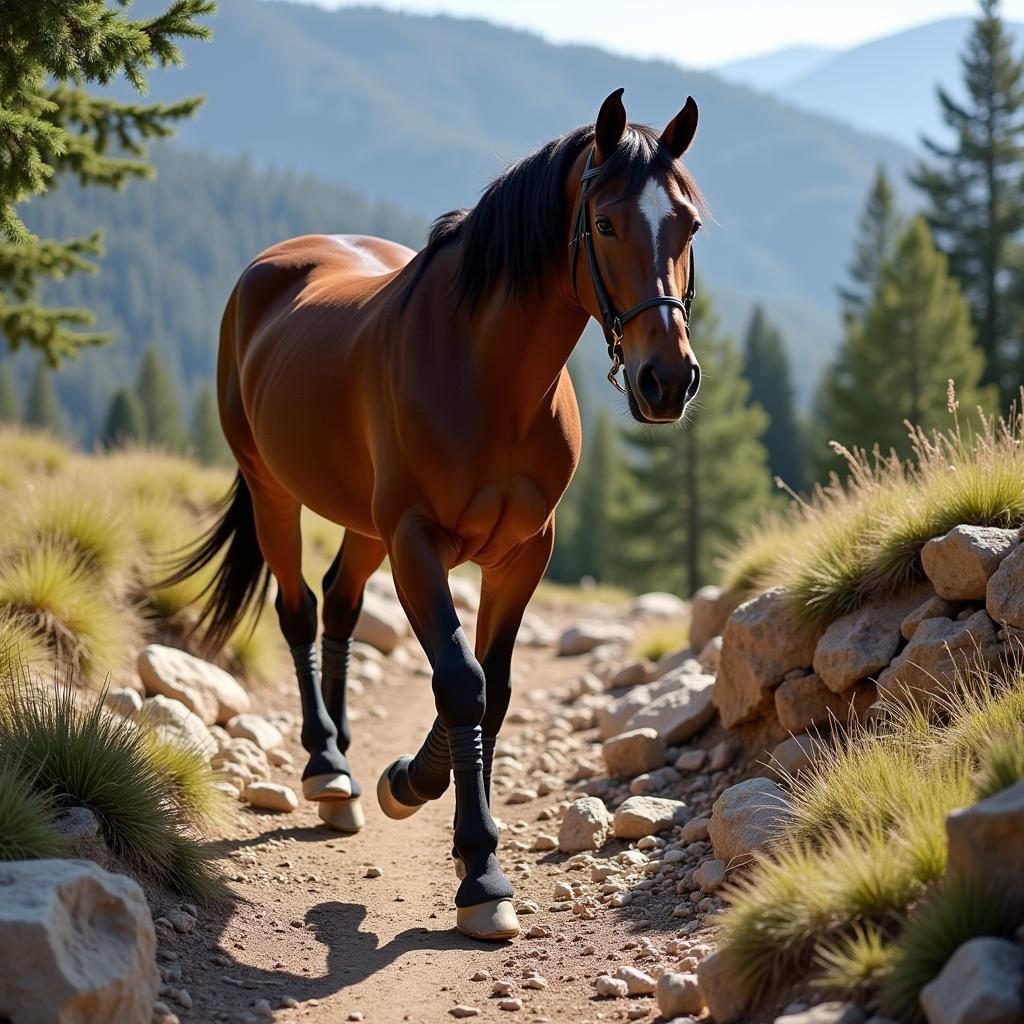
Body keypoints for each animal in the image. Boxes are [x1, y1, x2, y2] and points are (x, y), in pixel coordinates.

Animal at [167, 92, 704, 937]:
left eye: (689, 226)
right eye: (608, 222)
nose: (668, 380)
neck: (487, 376)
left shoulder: (523, 551)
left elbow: (496, 685)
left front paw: (418, 783)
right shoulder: (416, 540)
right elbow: (460, 680)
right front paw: (478, 869)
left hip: (362, 523)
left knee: (342, 604)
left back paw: (348, 765)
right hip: (273, 490)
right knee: (299, 608)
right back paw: (327, 766)